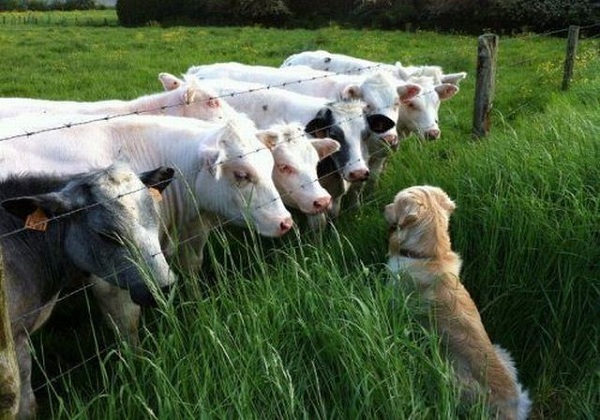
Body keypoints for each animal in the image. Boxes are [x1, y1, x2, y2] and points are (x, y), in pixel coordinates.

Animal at [384, 185, 531, 419]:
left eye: (395, 202)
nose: (384, 207)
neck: (430, 255)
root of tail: (513, 409)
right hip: (503, 352)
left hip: (451, 377)